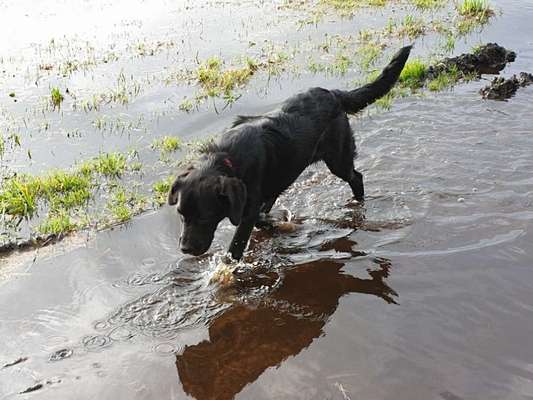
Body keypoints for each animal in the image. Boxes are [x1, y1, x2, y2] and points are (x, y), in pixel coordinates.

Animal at [168, 45, 410, 260]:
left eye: (205, 216)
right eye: (180, 214)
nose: (185, 249)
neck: (226, 157)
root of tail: (332, 94)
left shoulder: (247, 210)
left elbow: (236, 247)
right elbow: (262, 219)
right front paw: (275, 223)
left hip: (338, 159)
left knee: (356, 177)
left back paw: (357, 203)